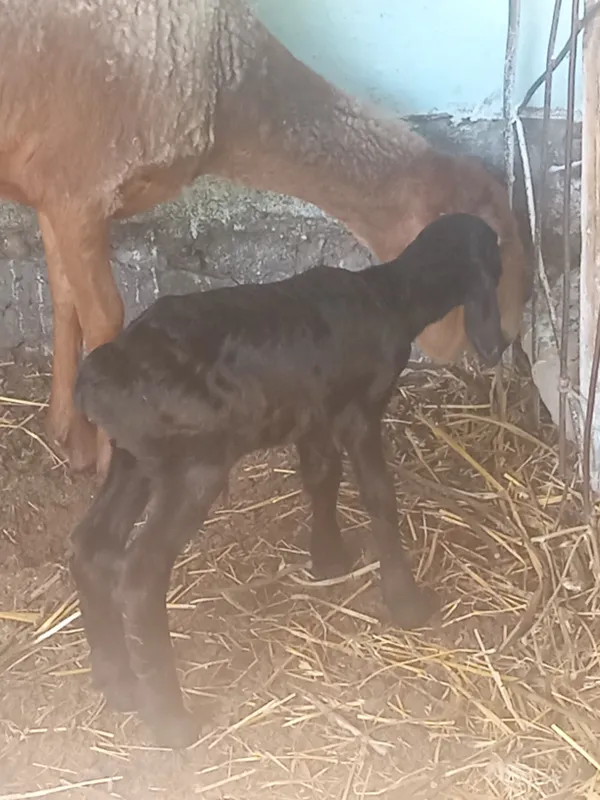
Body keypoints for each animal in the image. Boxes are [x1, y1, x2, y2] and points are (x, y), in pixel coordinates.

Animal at [0, 0, 529, 476]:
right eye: (493, 251)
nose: (507, 338)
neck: (221, 72)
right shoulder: (82, 190)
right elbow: (105, 318)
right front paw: (109, 457)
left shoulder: (56, 192)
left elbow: (64, 298)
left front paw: (69, 435)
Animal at [69, 212, 507, 749]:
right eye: (498, 269)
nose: (499, 344)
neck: (390, 296)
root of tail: (99, 382)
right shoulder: (361, 409)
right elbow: (379, 496)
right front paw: (407, 601)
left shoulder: (314, 413)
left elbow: (322, 477)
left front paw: (329, 559)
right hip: (195, 464)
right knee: (139, 576)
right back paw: (171, 720)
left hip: (135, 457)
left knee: (93, 544)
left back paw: (118, 683)